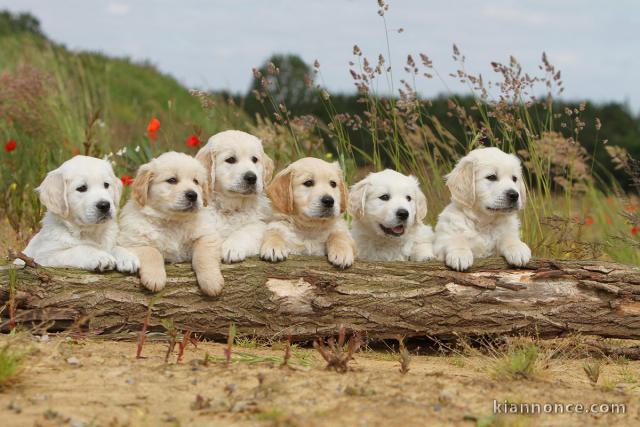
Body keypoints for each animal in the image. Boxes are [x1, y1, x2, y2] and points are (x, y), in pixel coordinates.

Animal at [117, 152, 225, 296]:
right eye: (172, 180)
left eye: (196, 181)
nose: (193, 195)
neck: (174, 221)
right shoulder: (132, 241)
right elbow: (152, 252)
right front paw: (155, 278)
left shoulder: (207, 236)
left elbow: (204, 256)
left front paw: (211, 281)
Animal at [195, 130, 276, 264]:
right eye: (231, 159)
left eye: (254, 159)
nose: (251, 178)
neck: (232, 207)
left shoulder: (260, 223)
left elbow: (246, 231)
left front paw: (232, 248)